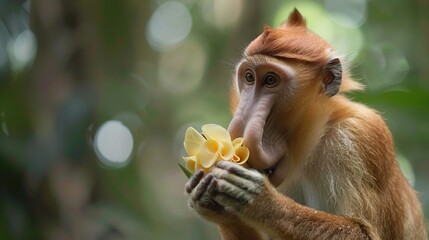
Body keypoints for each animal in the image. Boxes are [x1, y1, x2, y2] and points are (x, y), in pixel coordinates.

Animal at [183, 8, 424, 239]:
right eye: (249, 77)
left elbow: (365, 232)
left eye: (270, 80)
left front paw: (260, 201)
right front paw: (212, 203)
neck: (311, 143)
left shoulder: (363, 136)